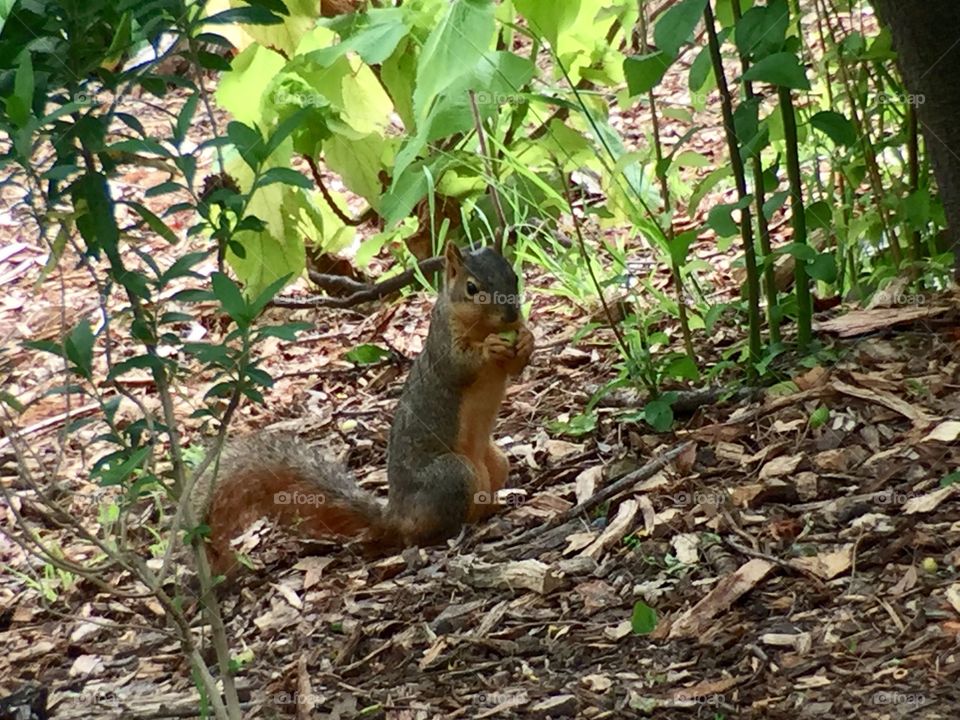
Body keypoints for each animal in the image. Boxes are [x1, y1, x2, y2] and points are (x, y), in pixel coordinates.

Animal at [191, 242, 536, 572]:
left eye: (513, 276)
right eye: (472, 287)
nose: (511, 316)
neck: (480, 326)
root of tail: (395, 515)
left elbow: (516, 366)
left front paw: (526, 339)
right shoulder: (443, 342)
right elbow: (459, 366)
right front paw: (490, 347)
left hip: (497, 462)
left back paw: (496, 506)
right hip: (453, 475)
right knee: (422, 533)